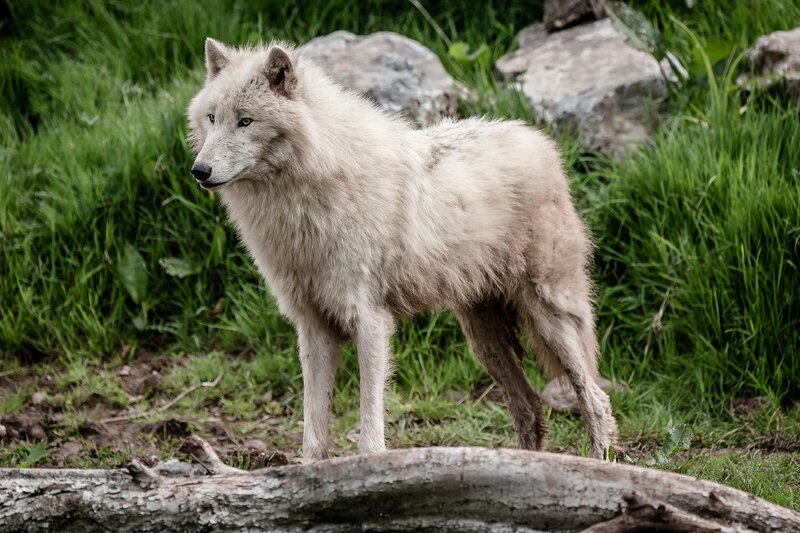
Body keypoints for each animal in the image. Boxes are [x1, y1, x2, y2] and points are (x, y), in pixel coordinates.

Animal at [187, 38, 617, 460]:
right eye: (212, 118)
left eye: (246, 121)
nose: (199, 171)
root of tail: (539, 140)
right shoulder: (312, 327)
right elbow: (314, 436)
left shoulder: (369, 320)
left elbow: (369, 432)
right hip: (484, 340)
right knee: (529, 407)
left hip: (549, 319)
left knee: (595, 398)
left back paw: (599, 464)